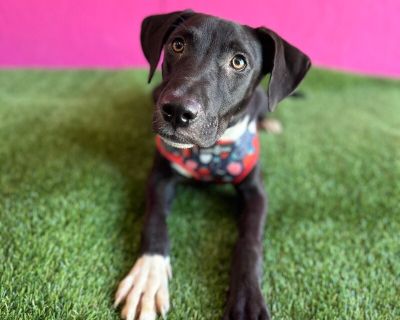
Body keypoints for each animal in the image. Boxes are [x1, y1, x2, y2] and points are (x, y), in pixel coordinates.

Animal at [114, 10, 310, 320]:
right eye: (177, 45)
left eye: (239, 62)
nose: (177, 111)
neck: (210, 152)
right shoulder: (160, 177)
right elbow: (154, 220)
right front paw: (148, 275)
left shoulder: (256, 192)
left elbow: (250, 242)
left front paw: (247, 295)